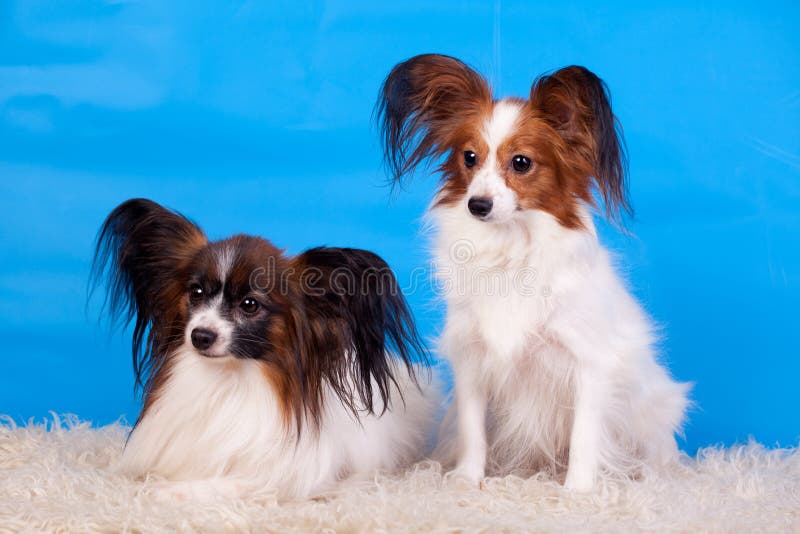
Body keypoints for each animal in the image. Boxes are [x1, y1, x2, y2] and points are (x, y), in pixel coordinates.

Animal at [92, 199, 438, 500]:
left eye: (250, 305)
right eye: (196, 292)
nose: (200, 336)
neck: (226, 382)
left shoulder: (280, 478)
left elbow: (224, 483)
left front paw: (170, 490)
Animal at [376, 55, 688, 494]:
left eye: (521, 163)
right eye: (469, 158)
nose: (477, 205)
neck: (511, 250)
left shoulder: (588, 362)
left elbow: (584, 434)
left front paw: (578, 490)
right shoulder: (472, 356)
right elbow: (473, 428)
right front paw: (467, 478)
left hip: (653, 408)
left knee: (659, 450)